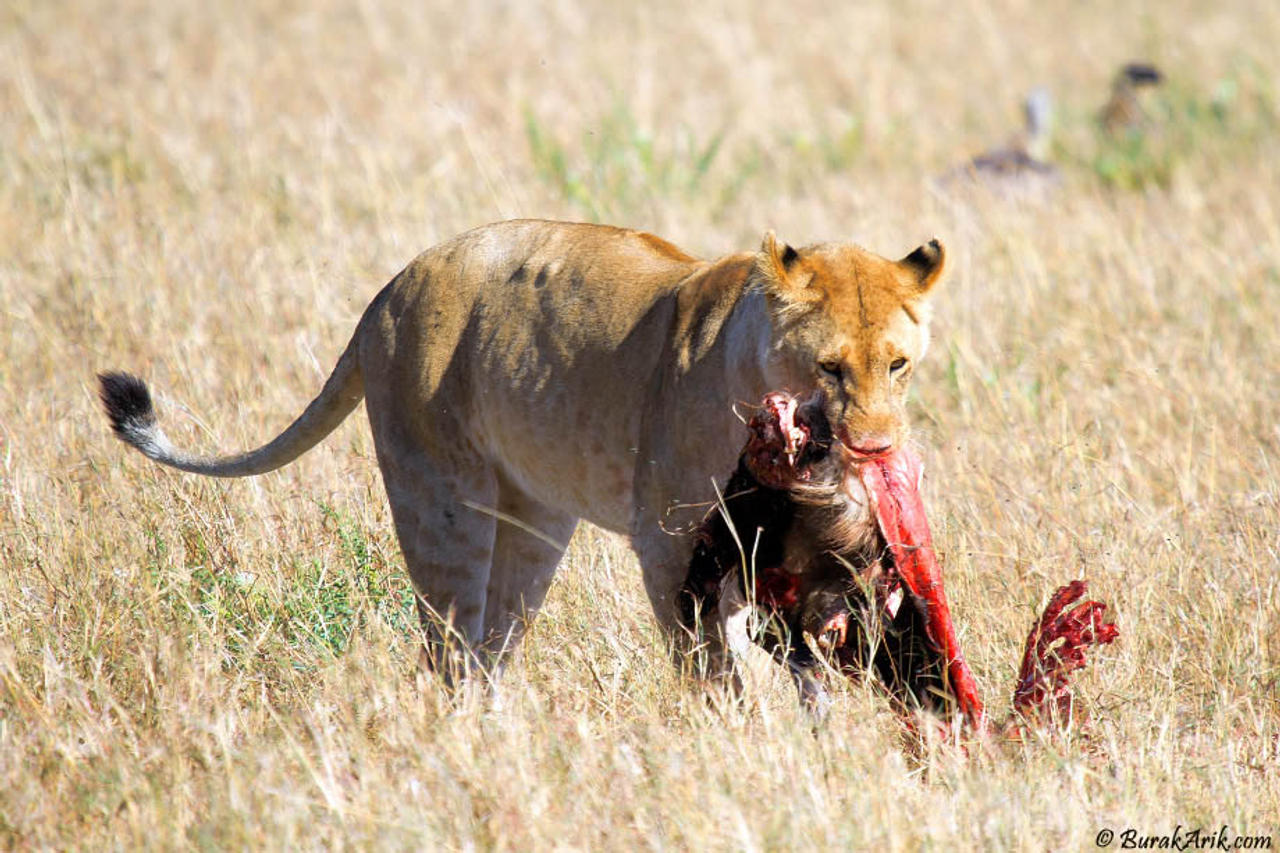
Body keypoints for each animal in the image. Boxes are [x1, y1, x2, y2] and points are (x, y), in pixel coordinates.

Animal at [99, 219, 945, 682]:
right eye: (830, 367)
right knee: (448, 652)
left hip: (534, 523)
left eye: (898, 364)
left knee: (490, 649)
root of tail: (389, 290)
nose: (875, 446)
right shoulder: (669, 543)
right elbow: (709, 664)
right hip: (443, 506)